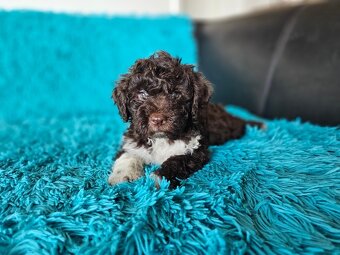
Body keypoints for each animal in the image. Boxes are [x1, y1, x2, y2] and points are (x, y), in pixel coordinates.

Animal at [109, 50, 262, 188]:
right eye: (142, 94)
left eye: (176, 94)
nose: (158, 119)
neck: (162, 138)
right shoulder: (132, 142)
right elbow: (127, 155)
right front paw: (122, 176)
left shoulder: (196, 149)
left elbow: (178, 160)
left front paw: (160, 177)